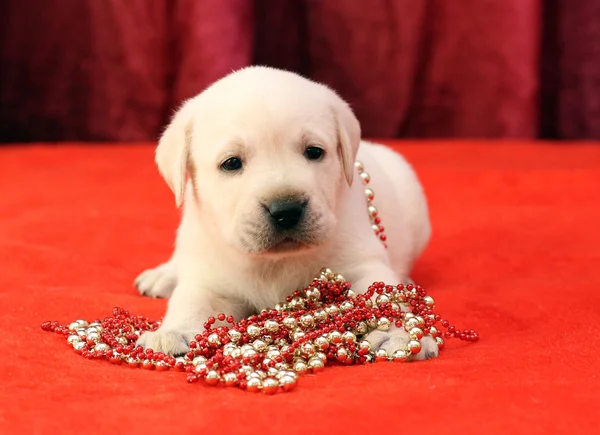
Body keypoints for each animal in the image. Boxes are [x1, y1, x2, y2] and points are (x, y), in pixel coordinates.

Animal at [135, 66, 436, 360]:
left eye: (314, 152)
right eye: (231, 163)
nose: (286, 210)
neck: (274, 262)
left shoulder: (361, 262)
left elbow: (382, 294)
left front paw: (400, 332)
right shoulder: (209, 278)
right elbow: (191, 302)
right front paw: (173, 331)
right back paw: (164, 275)